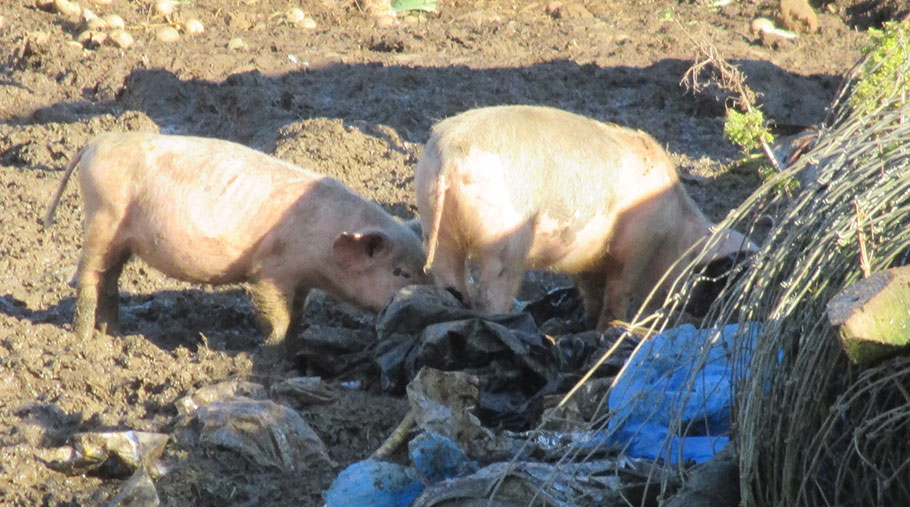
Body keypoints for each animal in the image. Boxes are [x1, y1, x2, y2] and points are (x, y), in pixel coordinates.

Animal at [42, 133, 428, 350]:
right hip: (102, 215)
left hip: (122, 237)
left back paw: (114, 333)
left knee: (110, 278)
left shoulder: (300, 279)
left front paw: (292, 345)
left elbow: (298, 312)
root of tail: (95, 143)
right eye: (401, 273)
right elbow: (276, 312)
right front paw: (271, 349)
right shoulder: (271, 269)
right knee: (88, 276)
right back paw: (83, 339)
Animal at [418, 105, 756, 332]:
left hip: (434, 219)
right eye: (722, 277)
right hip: (503, 235)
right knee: (492, 289)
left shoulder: (589, 257)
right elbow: (619, 290)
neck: (676, 232)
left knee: (448, 274)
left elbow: (591, 290)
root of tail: (451, 151)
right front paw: (610, 328)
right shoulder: (636, 243)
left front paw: (588, 324)